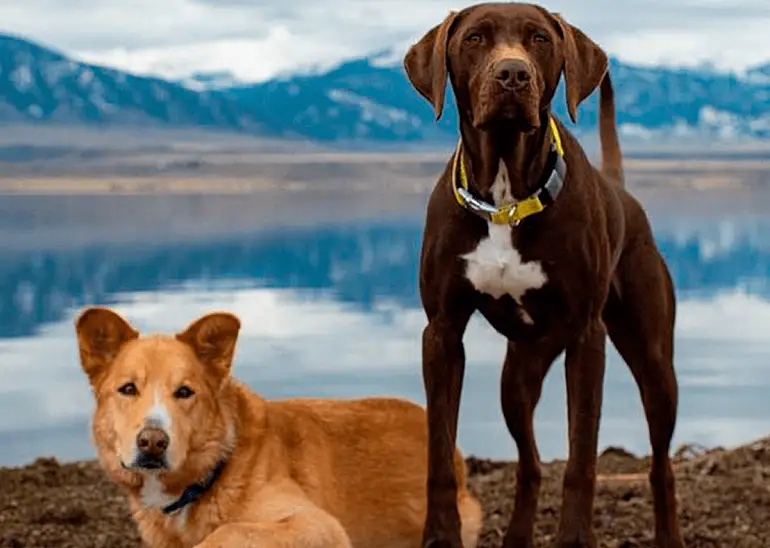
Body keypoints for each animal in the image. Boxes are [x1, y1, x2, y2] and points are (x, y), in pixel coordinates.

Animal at [404, 4, 680, 548]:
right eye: (474, 38)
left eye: (539, 39)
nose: (513, 74)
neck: (505, 197)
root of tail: (622, 193)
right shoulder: (441, 333)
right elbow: (439, 455)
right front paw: (440, 536)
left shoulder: (588, 338)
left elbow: (581, 458)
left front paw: (574, 538)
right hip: (518, 376)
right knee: (529, 462)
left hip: (655, 364)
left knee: (661, 465)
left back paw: (669, 537)